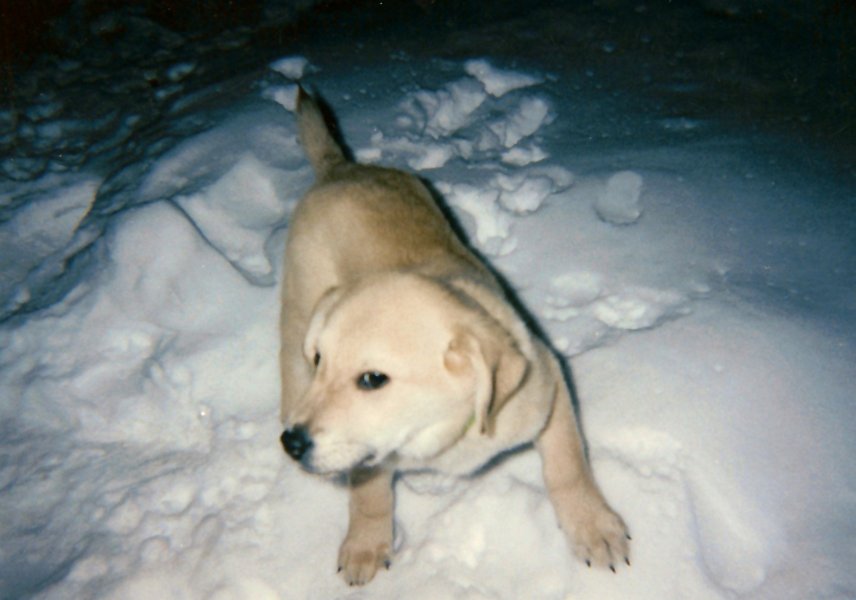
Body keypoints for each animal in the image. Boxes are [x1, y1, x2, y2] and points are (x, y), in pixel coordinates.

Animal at [279, 87, 630, 586]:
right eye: (320, 361)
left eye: (372, 379)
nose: (292, 444)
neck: (437, 433)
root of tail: (340, 167)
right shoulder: (368, 451)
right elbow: (368, 492)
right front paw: (366, 543)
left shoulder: (547, 387)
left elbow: (568, 464)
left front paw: (593, 527)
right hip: (299, 298)